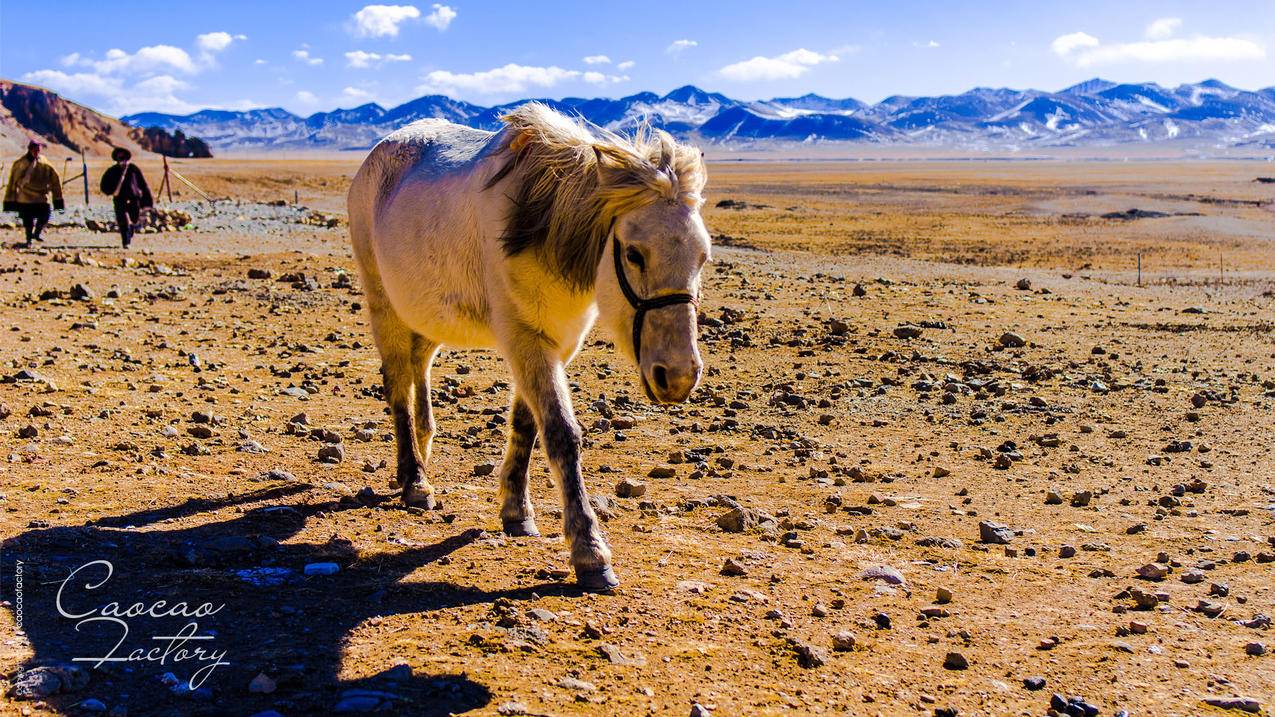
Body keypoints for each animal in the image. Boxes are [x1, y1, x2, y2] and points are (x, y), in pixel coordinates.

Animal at [346, 104, 708, 586]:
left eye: (703, 257)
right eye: (634, 253)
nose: (679, 376)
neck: (542, 224)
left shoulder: (558, 342)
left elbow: (526, 423)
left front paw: (516, 512)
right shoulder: (524, 338)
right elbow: (560, 432)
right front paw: (590, 552)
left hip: (423, 312)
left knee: (417, 367)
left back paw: (424, 448)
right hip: (382, 302)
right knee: (397, 386)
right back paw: (414, 481)